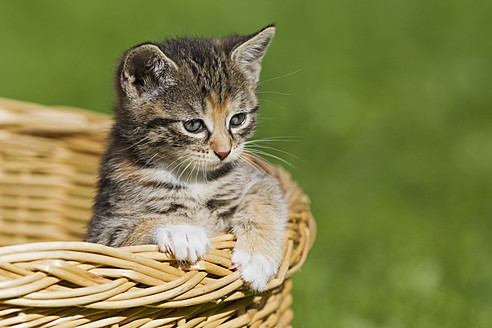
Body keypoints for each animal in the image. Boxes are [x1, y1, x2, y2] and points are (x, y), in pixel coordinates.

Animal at [85, 26, 288, 292]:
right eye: (193, 125)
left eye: (237, 119)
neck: (195, 179)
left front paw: (257, 258)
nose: (224, 151)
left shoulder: (259, 180)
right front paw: (180, 230)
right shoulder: (103, 231)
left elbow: (265, 199)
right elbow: (133, 232)